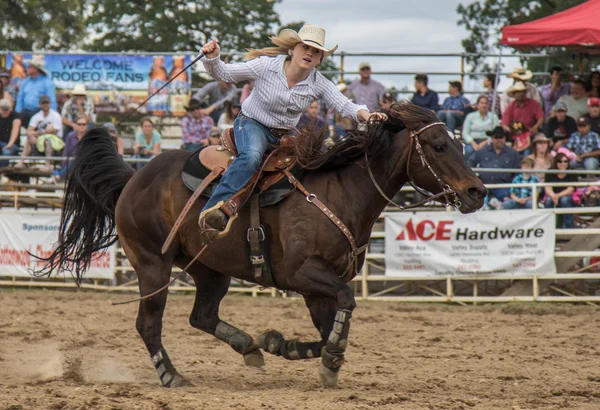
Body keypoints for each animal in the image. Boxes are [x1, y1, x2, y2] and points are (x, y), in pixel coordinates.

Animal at [38, 101, 488, 388]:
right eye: (438, 146)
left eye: (460, 143)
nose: (477, 192)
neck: (342, 190)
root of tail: (133, 179)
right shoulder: (307, 274)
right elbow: (346, 303)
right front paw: (327, 360)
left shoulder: (317, 288)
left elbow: (330, 327)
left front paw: (286, 346)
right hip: (152, 265)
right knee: (148, 323)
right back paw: (171, 375)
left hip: (211, 270)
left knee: (201, 316)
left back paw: (249, 347)